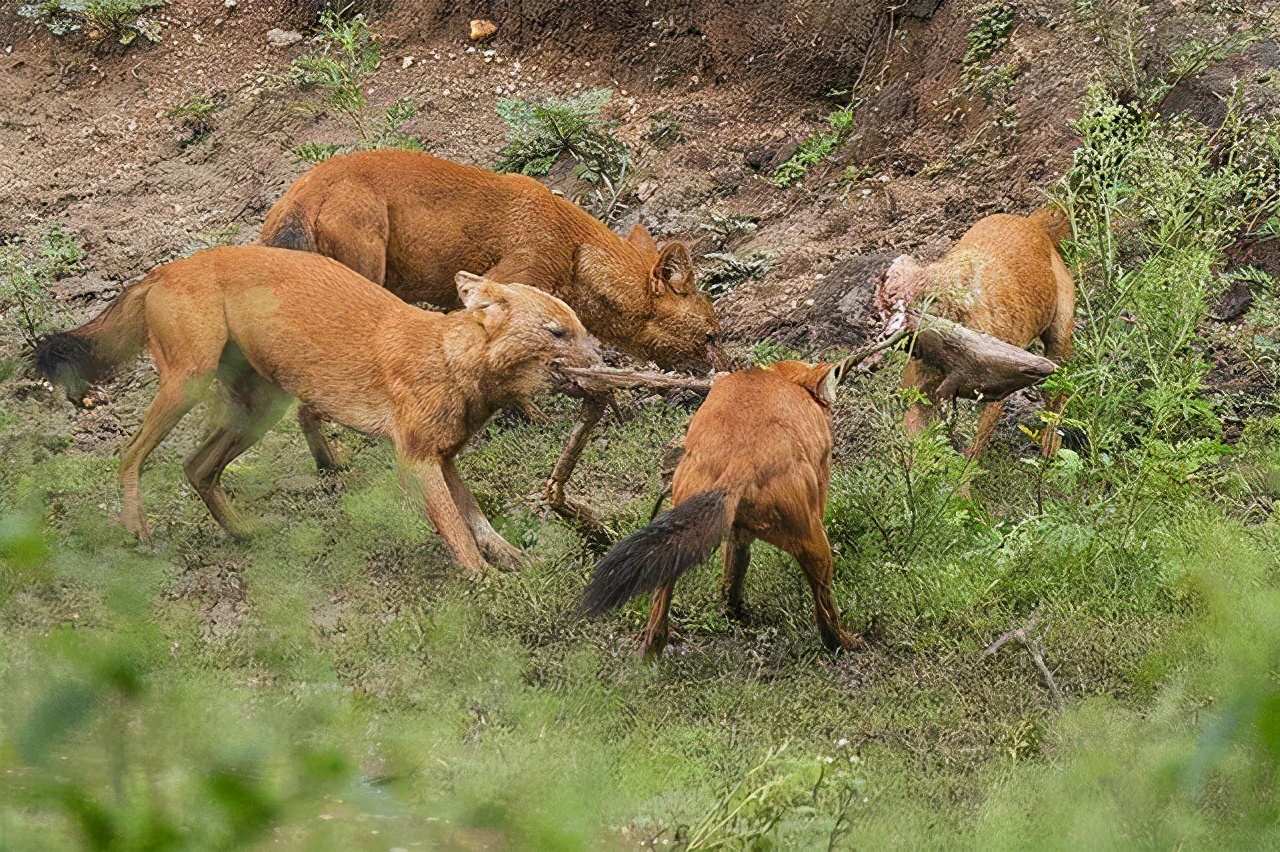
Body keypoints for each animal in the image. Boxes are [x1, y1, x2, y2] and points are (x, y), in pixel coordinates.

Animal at [36, 241, 599, 568]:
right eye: (557, 332)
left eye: (582, 327)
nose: (602, 357)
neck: (448, 361)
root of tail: (165, 268)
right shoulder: (415, 460)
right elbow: (458, 533)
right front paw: (487, 584)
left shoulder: (443, 458)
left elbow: (476, 517)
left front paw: (513, 559)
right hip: (187, 385)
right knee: (128, 453)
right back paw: (137, 530)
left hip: (260, 410)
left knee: (195, 467)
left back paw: (246, 535)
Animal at [262, 150, 721, 478]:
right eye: (713, 335)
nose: (727, 371)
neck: (575, 252)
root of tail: (298, 198)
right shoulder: (499, 284)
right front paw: (535, 416)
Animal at [581, 355, 860, 652]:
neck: (781, 377)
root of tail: (740, 462)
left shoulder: (737, 532)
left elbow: (734, 567)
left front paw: (733, 610)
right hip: (813, 538)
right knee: (825, 605)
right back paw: (844, 642)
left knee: (659, 609)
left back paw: (654, 650)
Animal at [875, 205, 1075, 455]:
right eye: (883, 306)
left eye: (915, 303)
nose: (886, 334)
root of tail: (1032, 223)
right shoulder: (923, 392)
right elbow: (919, 444)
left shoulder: (992, 397)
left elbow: (974, 449)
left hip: (1059, 337)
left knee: (1056, 402)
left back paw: (1049, 455)